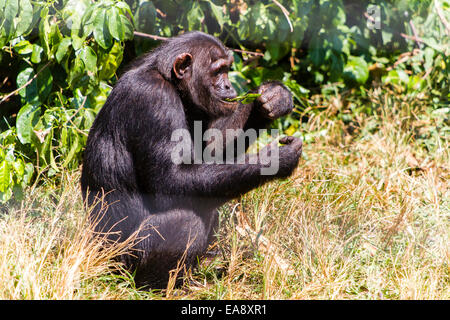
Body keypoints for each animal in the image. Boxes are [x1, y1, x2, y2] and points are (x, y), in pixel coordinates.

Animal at [81, 31, 302, 288]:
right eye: (217, 71)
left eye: (227, 70)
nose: (228, 85)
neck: (174, 86)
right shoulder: (155, 101)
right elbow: (171, 182)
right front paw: (274, 159)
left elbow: (211, 153)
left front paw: (273, 97)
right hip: (123, 262)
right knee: (186, 220)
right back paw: (161, 286)